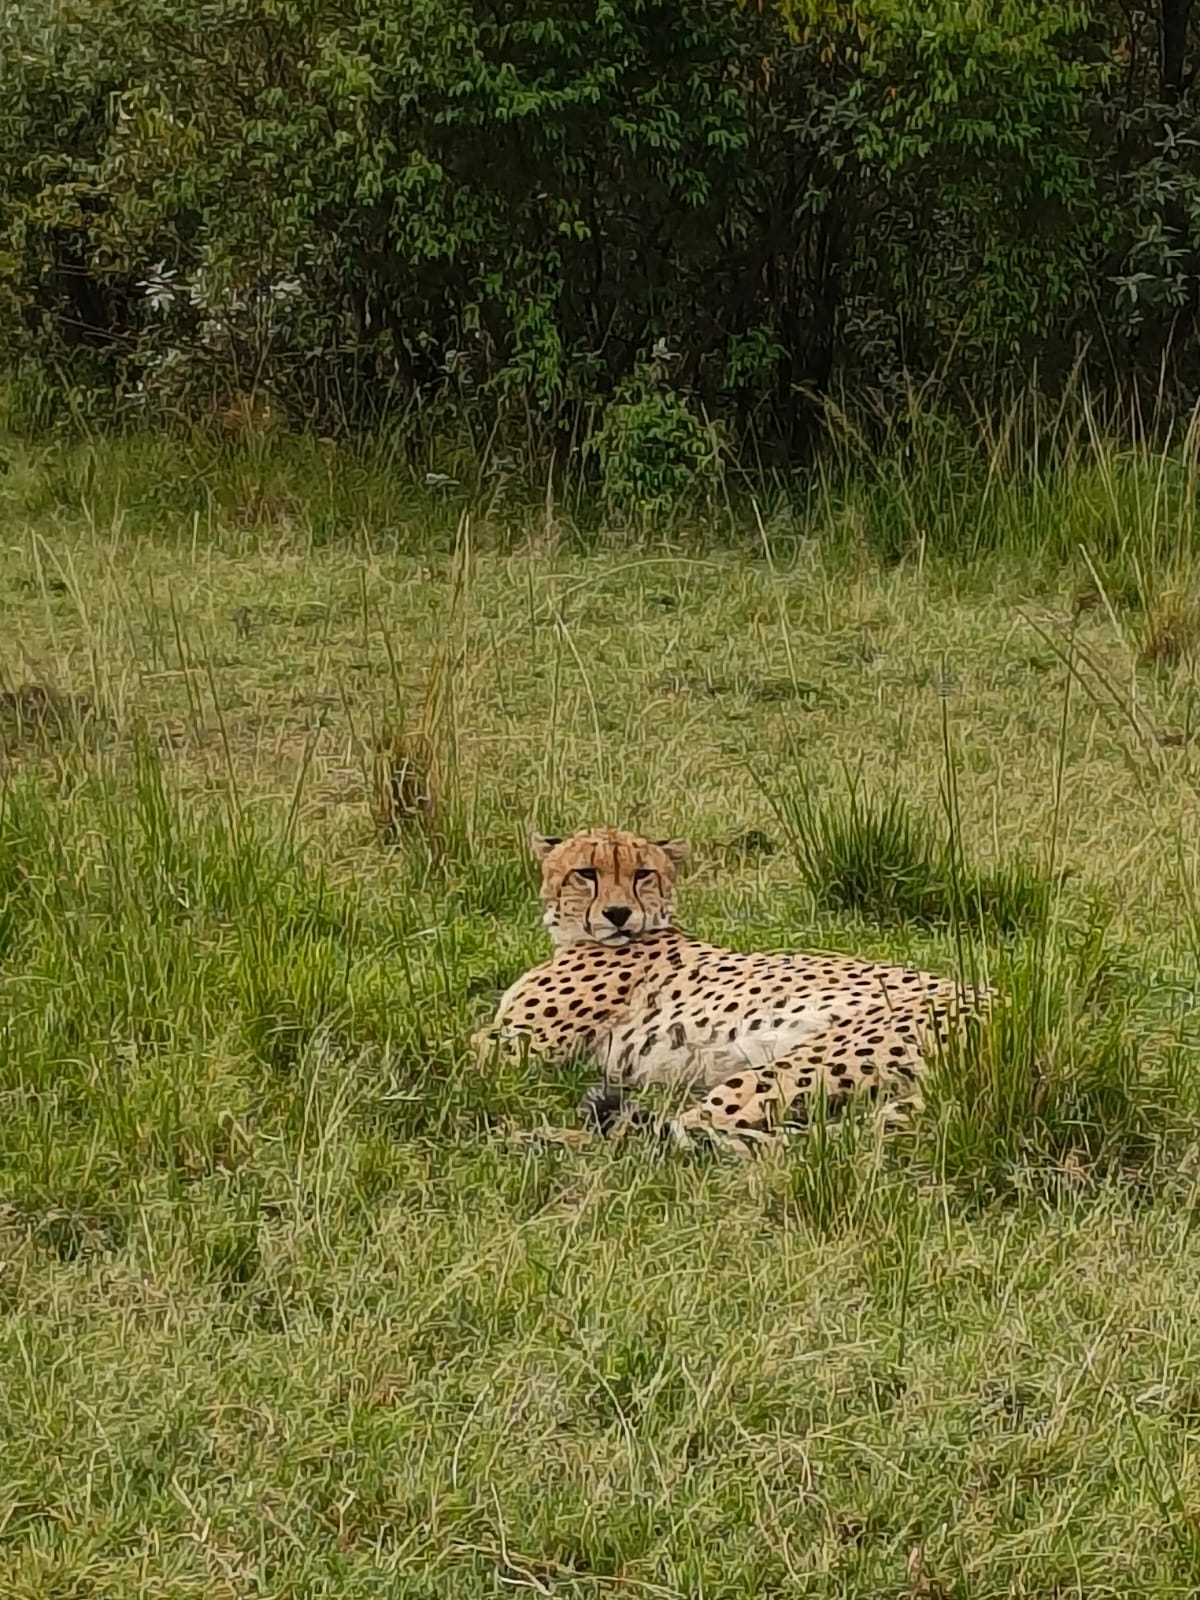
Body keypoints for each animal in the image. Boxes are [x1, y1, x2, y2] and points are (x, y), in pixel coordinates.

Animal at [473, 826, 996, 1156]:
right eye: (586, 872)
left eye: (643, 874)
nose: (619, 915)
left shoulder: (517, 1044)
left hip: (806, 1061)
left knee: (683, 1132)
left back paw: (537, 1139)